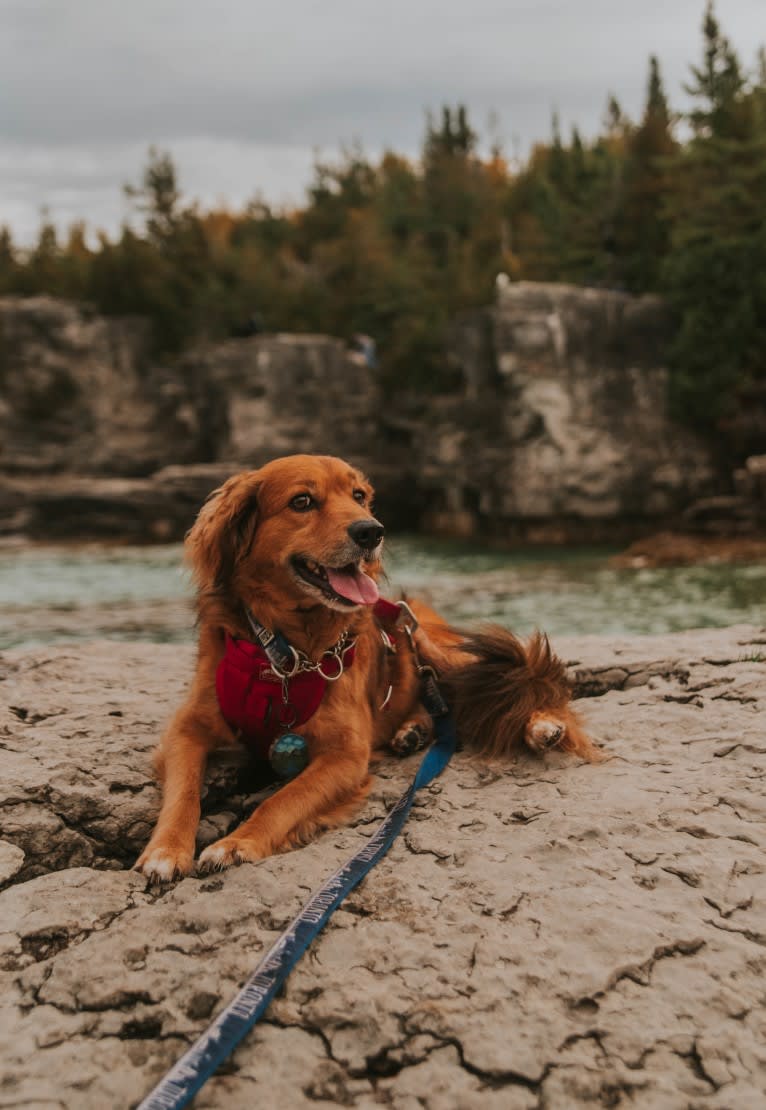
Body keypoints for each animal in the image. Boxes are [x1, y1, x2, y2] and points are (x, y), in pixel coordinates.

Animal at [134, 455, 595, 879]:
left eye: (358, 496)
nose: (372, 531)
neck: (285, 655)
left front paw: (237, 842)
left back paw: (544, 724)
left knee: (529, 684)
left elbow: (282, 799)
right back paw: (412, 731)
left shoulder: (346, 754)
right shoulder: (186, 728)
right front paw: (166, 850)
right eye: (302, 501)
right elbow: (182, 793)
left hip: (437, 649)